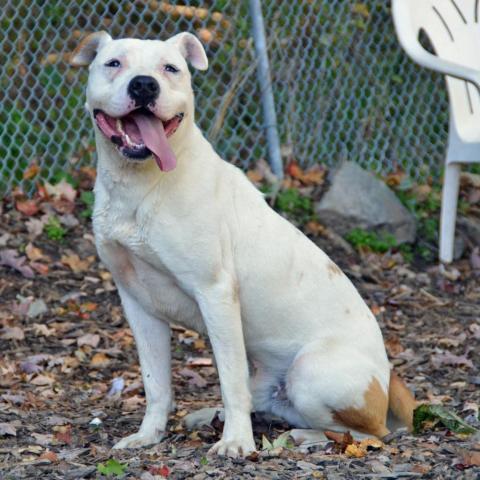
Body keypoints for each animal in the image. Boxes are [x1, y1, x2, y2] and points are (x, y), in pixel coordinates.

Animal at [69, 31, 414, 458]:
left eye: (171, 68)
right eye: (114, 63)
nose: (145, 85)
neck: (141, 184)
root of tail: (388, 375)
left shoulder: (215, 293)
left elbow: (230, 380)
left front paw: (236, 442)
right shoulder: (138, 304)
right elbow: (156, 383)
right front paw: (149, 434)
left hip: (310, 370)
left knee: (371, 434)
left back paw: (306, 437)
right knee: (264, 401)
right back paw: (212, 416)